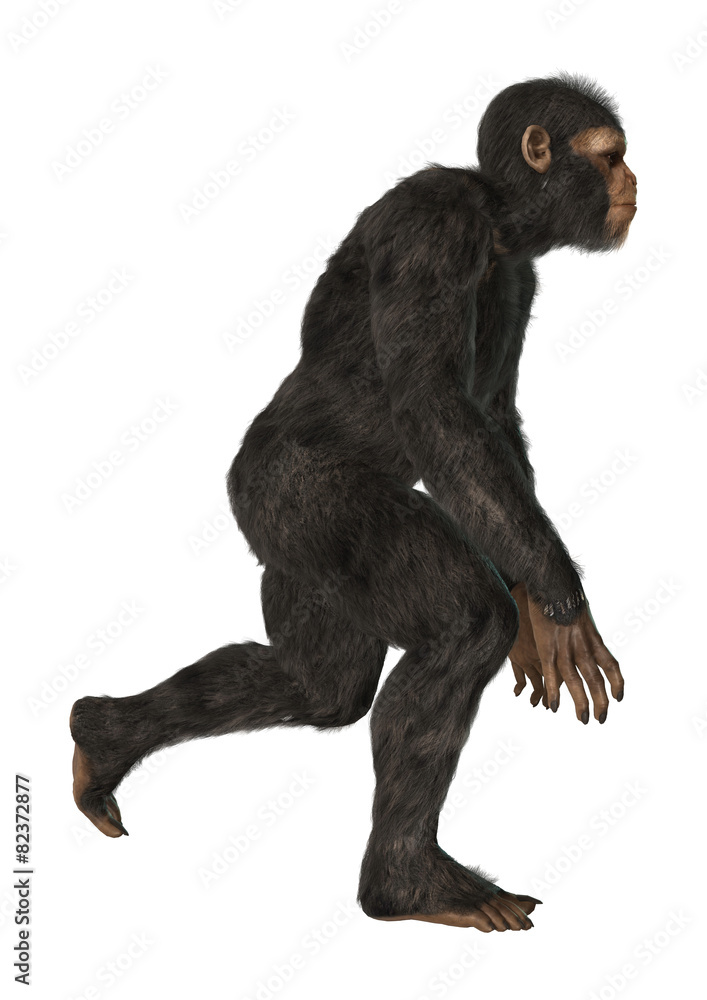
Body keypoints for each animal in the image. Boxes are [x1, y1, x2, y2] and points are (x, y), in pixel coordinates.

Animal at [70, 73, 633, 933]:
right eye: (606, 157)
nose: (631, 181)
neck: (499, 223)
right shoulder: (433, 228)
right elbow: (437, 410)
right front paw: (559, 598)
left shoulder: (517, 281)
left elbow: (490, 421)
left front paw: (538, 605)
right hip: (302, 506)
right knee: (450, 634)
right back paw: (407, 886)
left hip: (301, 570)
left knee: (320, 685)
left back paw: (102, 740)